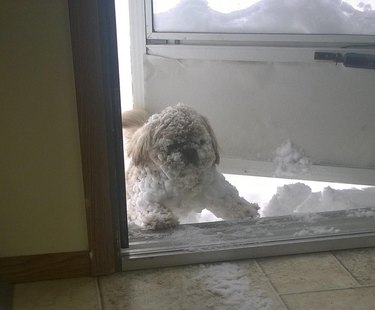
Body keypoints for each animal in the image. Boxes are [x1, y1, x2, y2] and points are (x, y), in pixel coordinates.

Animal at [122, 104, 258, 230]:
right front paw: (159, 218)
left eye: (201, 141)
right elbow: (148, 207)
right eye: (170, 146)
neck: (184, 181)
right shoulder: (141, 198)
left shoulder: (214, 188)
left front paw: (247, 211)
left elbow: (230, 201)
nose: (190, 151)